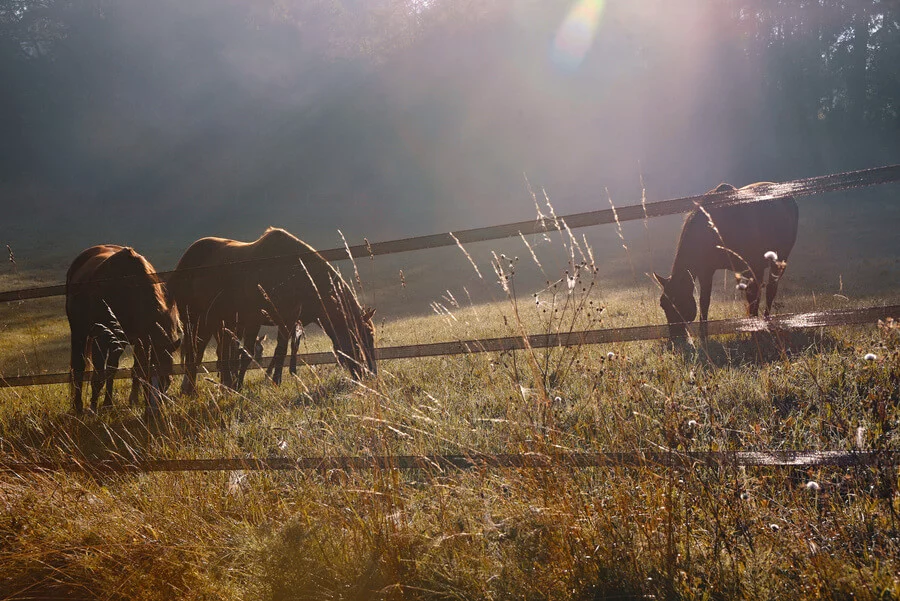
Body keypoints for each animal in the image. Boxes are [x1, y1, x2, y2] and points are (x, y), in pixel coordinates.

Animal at [65, 244, 183, 412]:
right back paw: (78, 406)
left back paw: (107, 403)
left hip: (117, 342)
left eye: (168, 381)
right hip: (80, 333)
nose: (157, 408)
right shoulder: (101, 339)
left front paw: (131, 400)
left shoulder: (140, 340)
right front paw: (93, 408)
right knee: (79, 367)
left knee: (111, 368)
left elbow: (136, 370)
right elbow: (98, 375)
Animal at [168, 226, 376, 394]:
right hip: (196, 320)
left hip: (220, 322)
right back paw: (191, 388)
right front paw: (240, 386)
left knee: (217, 352)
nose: (369, 373)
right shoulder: (253, 320)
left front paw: (274, 381)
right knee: (196, 352)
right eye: (359, 337)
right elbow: (247, 354)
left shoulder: (288, 321)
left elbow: (280, 351)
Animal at [652, 180, 800, 340]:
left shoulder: (751, 267)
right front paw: (704, 336)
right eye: (662, 304)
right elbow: (704, 302)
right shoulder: (706, 271)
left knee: (770, 291)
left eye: (679, 302)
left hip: (777, 262)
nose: (675, 337)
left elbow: (753, 296)